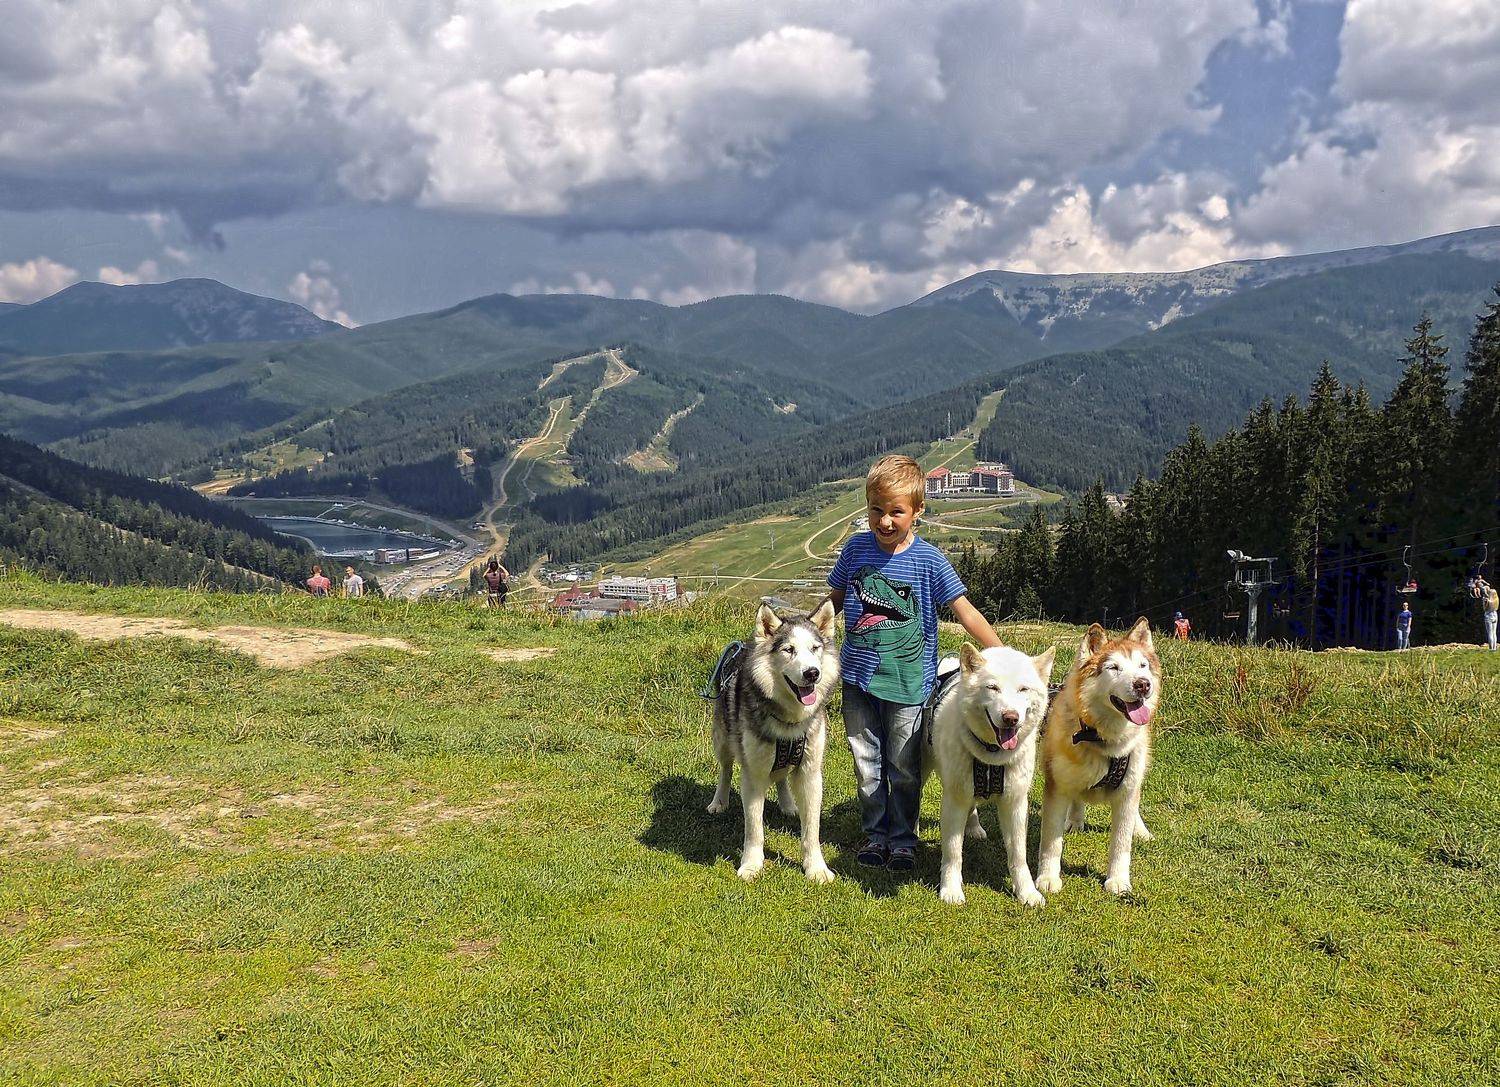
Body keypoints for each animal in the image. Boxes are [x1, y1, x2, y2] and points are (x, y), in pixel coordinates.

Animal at [707, 599, 839, 883]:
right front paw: (751, 865)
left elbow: (812, 829)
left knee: (780, 775)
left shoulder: (811, 773)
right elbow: (754, 827)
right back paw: (719, 801)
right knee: (725, 769)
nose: (812, 673)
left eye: (815, 649)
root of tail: (745, 645)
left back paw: (788, 804)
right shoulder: (753, 774)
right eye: (789, 650)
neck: (789, 721)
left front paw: (816, 867)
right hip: (723, 739)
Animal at [923, 642, 1056, 906]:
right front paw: (950, 889)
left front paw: (1026, 892)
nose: (1010, 717)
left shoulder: (1015, 804)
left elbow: (1018, 856)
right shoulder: (953, 801)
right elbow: (953, 852)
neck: (991, 757)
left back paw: (974, 827)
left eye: (1023, 689)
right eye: (992, 688)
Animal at [1036, 618, 1159, 897]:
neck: (1104, 740)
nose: (1143, 684)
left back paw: (1140, 830)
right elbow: (1051, 842)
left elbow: (1121, 844)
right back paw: (1075, 819)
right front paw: (1048, 877)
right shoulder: (1057, 787)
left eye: (1142, 665)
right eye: (1113, 668)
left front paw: (1118, 880)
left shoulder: (1127, 792)